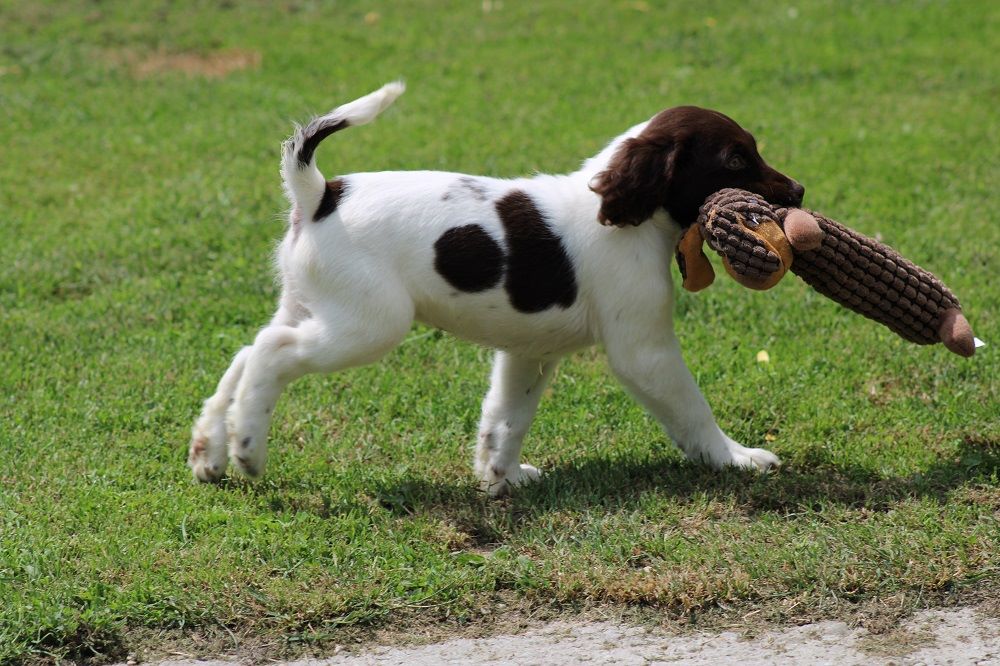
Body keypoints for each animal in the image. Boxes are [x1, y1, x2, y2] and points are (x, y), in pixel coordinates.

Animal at [188, 83, 804, 492]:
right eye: (736, 158)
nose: (797, 191)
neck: (628, 215)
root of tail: (319, 194)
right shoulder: (644, 350)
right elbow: (692, 409)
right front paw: (734, 458)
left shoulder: (528, 352)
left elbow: (507, 417)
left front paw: (499, 477)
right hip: (368, 324)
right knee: (270, 352)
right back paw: (247, 448)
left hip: (309, 304)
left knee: (246, 351)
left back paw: (209, 450)